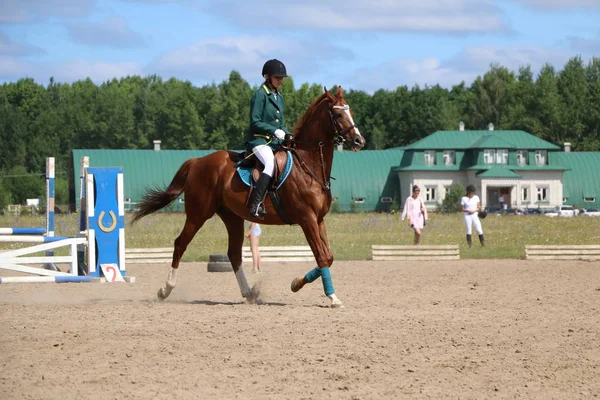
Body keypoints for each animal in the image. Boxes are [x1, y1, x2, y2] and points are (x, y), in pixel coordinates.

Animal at [133, 86, 364, 306]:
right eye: (338, 114)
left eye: (350, 111)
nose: (359, 141)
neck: (308, 165)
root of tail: (197, 161)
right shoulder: (307, 219)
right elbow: (322, 257)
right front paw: (332, 298)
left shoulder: (319, 219)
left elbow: (329, 257)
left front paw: (296, 284)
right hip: (198, 214)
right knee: (180, 244)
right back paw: (165, 290)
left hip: (232, 217)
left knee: (234, 254)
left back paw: (249, 293)